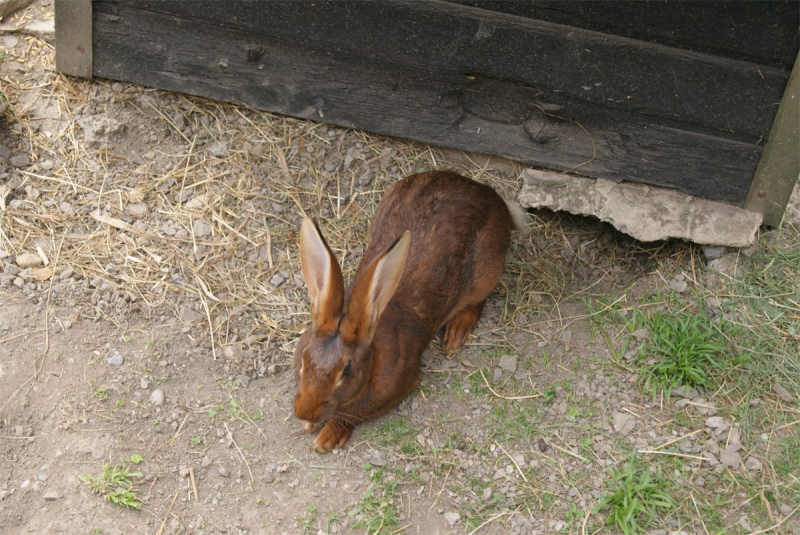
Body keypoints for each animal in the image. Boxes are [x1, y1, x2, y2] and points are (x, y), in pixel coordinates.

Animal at [294, 171, 524, 452]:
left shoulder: (401, 384)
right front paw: (310, 426)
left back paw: (455, 336)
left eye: (346, 370)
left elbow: (351, 416)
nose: (304, 412)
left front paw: (326, 438)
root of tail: (490, 197)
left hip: (486, 272)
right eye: (304, 358)